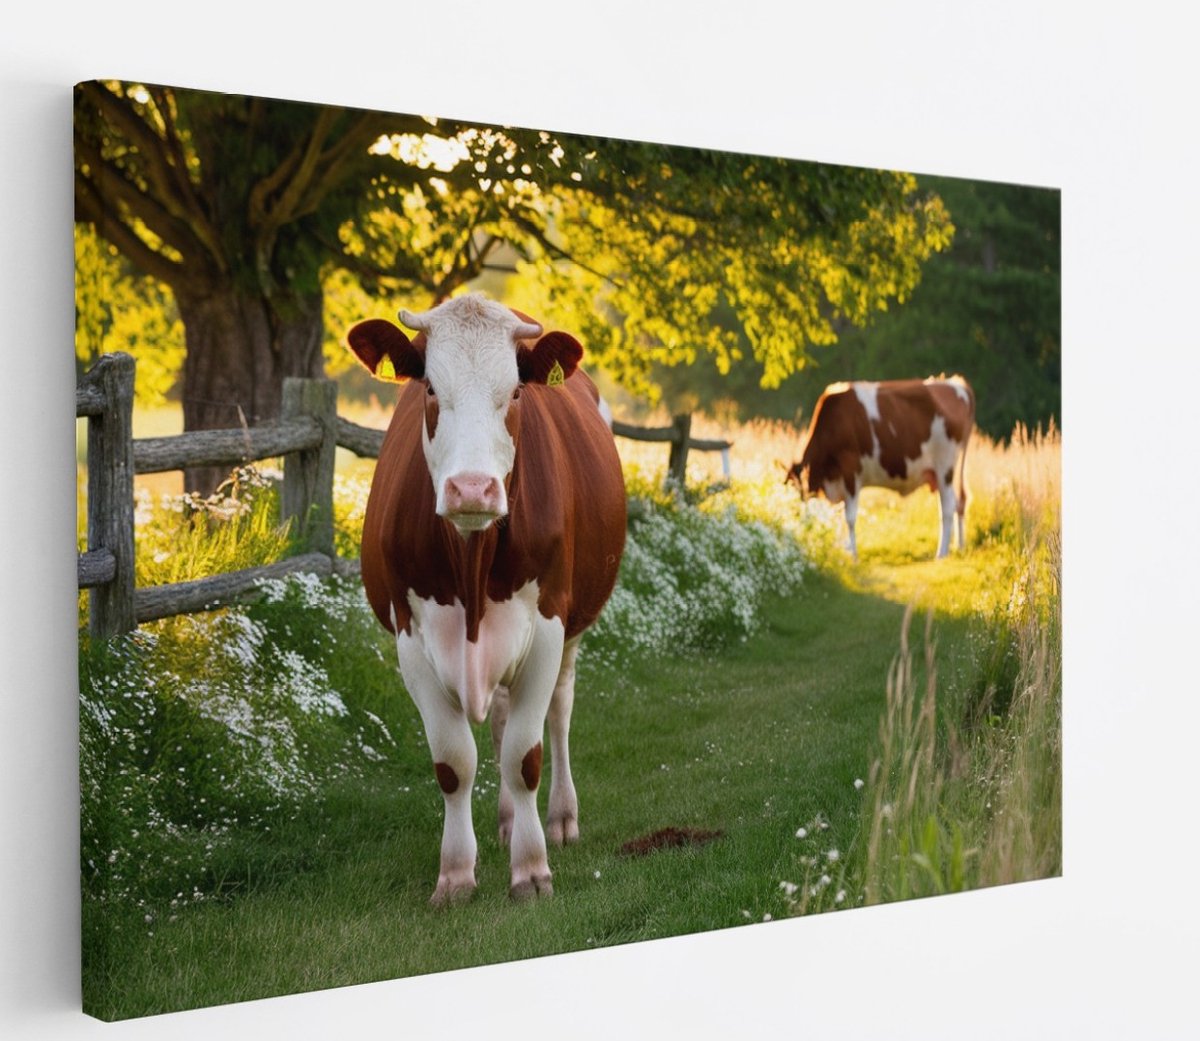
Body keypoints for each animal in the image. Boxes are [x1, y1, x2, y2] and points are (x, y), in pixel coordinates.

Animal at [347, 293, 626, 905]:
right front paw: (455, 875)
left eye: (516, 392)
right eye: (430, 388)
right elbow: (455, 762)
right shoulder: (411, 639)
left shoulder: (547, 627)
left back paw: (560, 818)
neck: (471, 564)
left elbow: (525, 755)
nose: (472, 488)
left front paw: (532, 869)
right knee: (497, 722)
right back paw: (504, 820)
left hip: (573, 628)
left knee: (558, 714)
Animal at [786, 377, 975, 560]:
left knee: (948, 507)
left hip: (945, 466)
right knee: (959, 502)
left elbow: (849, 517)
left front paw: (853, 555)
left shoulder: (851, 470)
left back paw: (942, 553)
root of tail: (956, 384)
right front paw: (842, 552)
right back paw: (959, 546)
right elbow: (839, 516)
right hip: (941, 472)